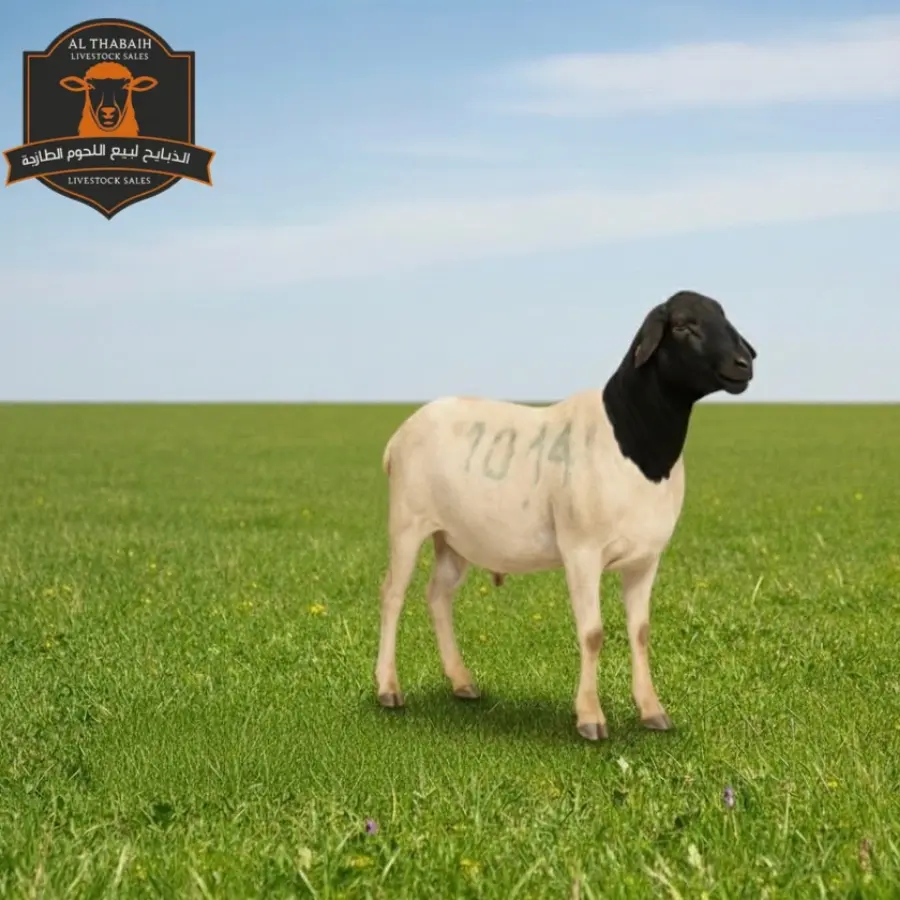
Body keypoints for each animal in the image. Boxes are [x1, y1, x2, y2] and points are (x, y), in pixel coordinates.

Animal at [374, 289, 756, 741]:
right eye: (682, 326)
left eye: (723, 317)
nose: (744, 364)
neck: (634, 441)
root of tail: (400, 433)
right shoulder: (582, 551)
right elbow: (592, 634)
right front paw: (590, 718)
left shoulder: (646, 559)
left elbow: (641, 632)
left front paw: (652, 711)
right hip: (407, 523)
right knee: (392, 595)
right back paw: (388, 689)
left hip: (453, 538)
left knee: (438, 595)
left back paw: (462, 682)